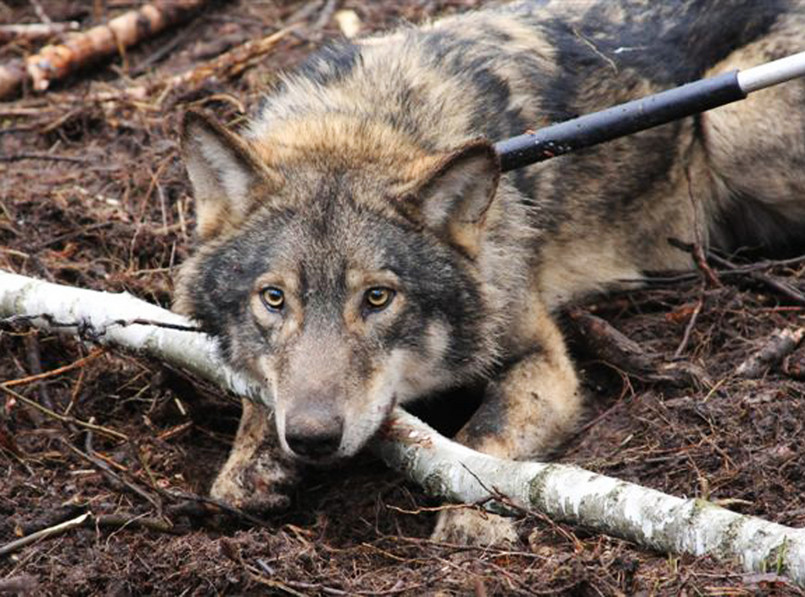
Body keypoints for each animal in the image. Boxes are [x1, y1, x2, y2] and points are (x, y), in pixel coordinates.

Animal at [176, 0, 804, 540]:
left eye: (378, 298)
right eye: (274, 298)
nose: (312, 438)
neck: (372, 118)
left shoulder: (546, 360)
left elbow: (482, 435)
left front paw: (473, 516)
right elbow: (257, 401)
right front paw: (247, 467)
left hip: (730, 127)